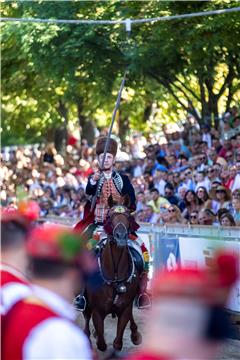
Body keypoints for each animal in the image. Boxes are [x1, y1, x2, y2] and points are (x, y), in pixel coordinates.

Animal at [83, 201, 142, 352]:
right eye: (110, 216)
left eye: (128, 215)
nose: (120, 236)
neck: (115, 276)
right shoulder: (97, 311)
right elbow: (102, 344)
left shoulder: (125, 309)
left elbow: (117, 343)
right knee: (86, 316)